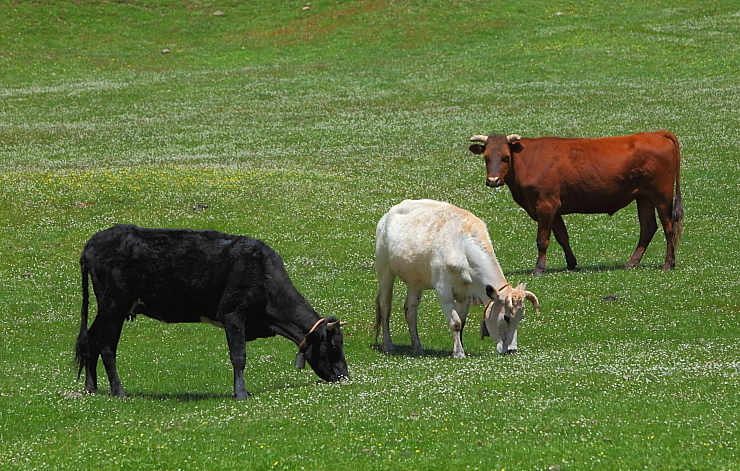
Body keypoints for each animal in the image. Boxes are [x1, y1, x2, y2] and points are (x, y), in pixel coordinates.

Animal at [75, 225, 350, 398]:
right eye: (335, 346)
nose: (344, 377)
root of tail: (93, 242)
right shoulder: (233, 315)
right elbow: (239, 356)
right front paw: (241, 393)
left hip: (107, 309)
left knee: (91, 340)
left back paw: (91, 387)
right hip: (114, 306)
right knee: (107, 347)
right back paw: (119, 391)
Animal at [376, 199, 536, 358]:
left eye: (521, 317)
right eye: (506, 317)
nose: (511, 349)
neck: (463, 247)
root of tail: (388, 214)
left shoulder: (467, 293)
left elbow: (462, 322)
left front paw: (457, 348)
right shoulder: (443, 290)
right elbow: (456, 322)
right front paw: (459, 353)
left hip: (414, 279)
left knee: (411, 310)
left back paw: (417, 347)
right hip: (385, 269)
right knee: (385, 306)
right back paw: (388, 345)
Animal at [468, 131, 684, 274]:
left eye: (506, 157)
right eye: (486, 157)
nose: (493, 180)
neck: (527, 161)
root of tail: (656, 134)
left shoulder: (545, 205)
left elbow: (542, 240)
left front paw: (539, 268)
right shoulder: (553, 209)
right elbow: (562, 237)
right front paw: (571, 263)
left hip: (661, 196)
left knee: (669, 227)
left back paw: (668, 263)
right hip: (644, 197)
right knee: (648, 227)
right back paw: (633, 262)